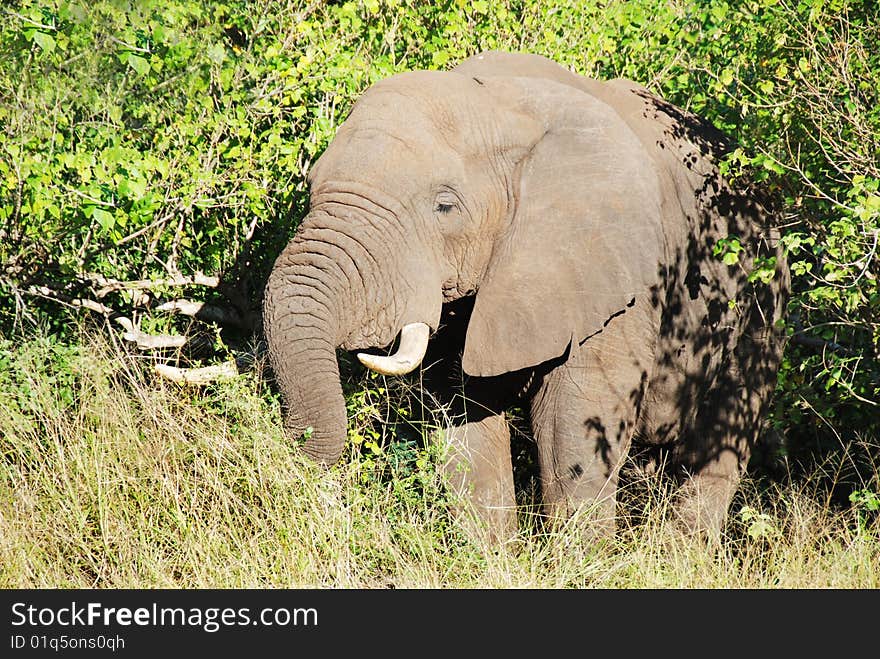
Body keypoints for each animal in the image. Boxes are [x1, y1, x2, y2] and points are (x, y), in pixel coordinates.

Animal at [262, 51, 792, 540]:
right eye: (309, 185)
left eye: (444, 206)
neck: (498, 103)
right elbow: (461, 416)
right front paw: (488, 559)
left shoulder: (614, 278)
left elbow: (575, 425)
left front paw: (579, 565)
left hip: (764, 305)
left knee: (720, 442)